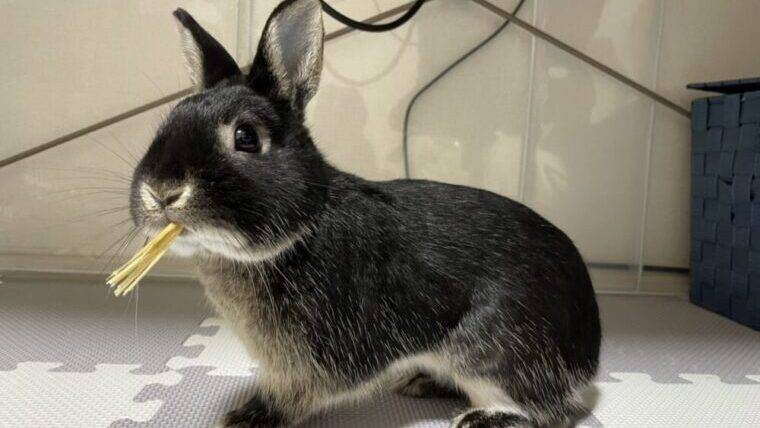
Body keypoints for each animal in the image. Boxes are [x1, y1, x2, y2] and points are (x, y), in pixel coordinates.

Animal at [132, 1, 604, 426]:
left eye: (246, 137)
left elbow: (298, 393)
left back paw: (484, 417)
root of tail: (588, 353)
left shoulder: (317, 360)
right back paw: (421, 382)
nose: (161, 192)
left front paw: (248, 417)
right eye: (169, 119)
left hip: (494, 349)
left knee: (547, 407)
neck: (302, 229)